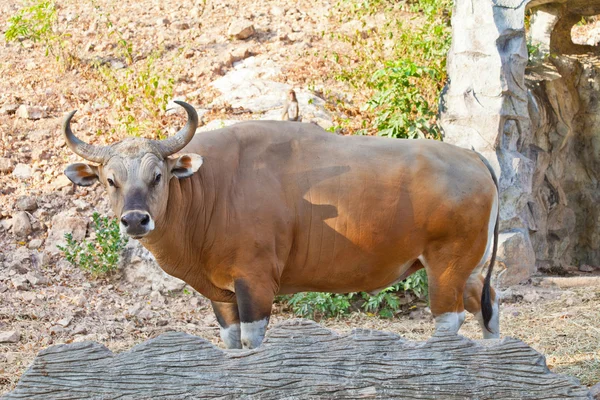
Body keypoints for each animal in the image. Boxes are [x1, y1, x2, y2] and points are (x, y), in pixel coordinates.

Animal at [63, 101, 500, 348]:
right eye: (110, 180)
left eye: (157, 176)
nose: (136, 219)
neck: (210, 191)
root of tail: (474, 158)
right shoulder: (222, 295)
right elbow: (231, 344)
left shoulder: (256, 283)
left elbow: (253, 344)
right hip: (468, 268)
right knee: (488, 306)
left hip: (445, 266)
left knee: (449, 320)